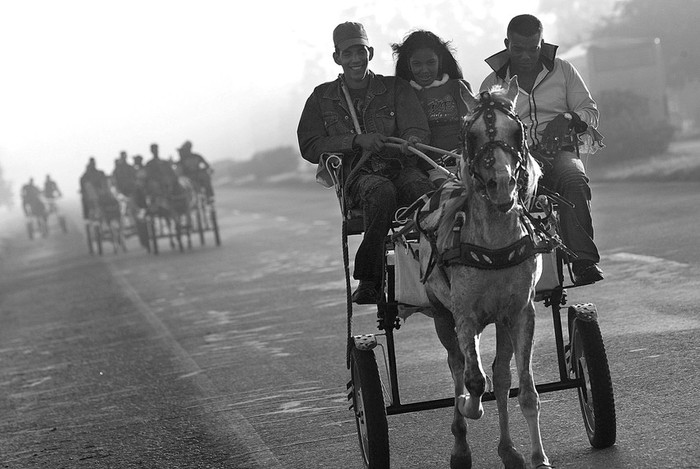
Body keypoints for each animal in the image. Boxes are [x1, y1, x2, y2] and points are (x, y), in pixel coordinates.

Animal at [416, 77, 552, 468]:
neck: (493, 245)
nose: (502, 184)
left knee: (501, 375)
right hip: (442, 316)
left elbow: (525, 389)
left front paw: (538, 457)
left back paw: (509, 450)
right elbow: (473, 381)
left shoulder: (520, 312)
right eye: (471, 134)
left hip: (500, 319)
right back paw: (461, 444)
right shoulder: (465, 316)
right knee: (458, 366)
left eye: (516, 130)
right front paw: (468, 406)